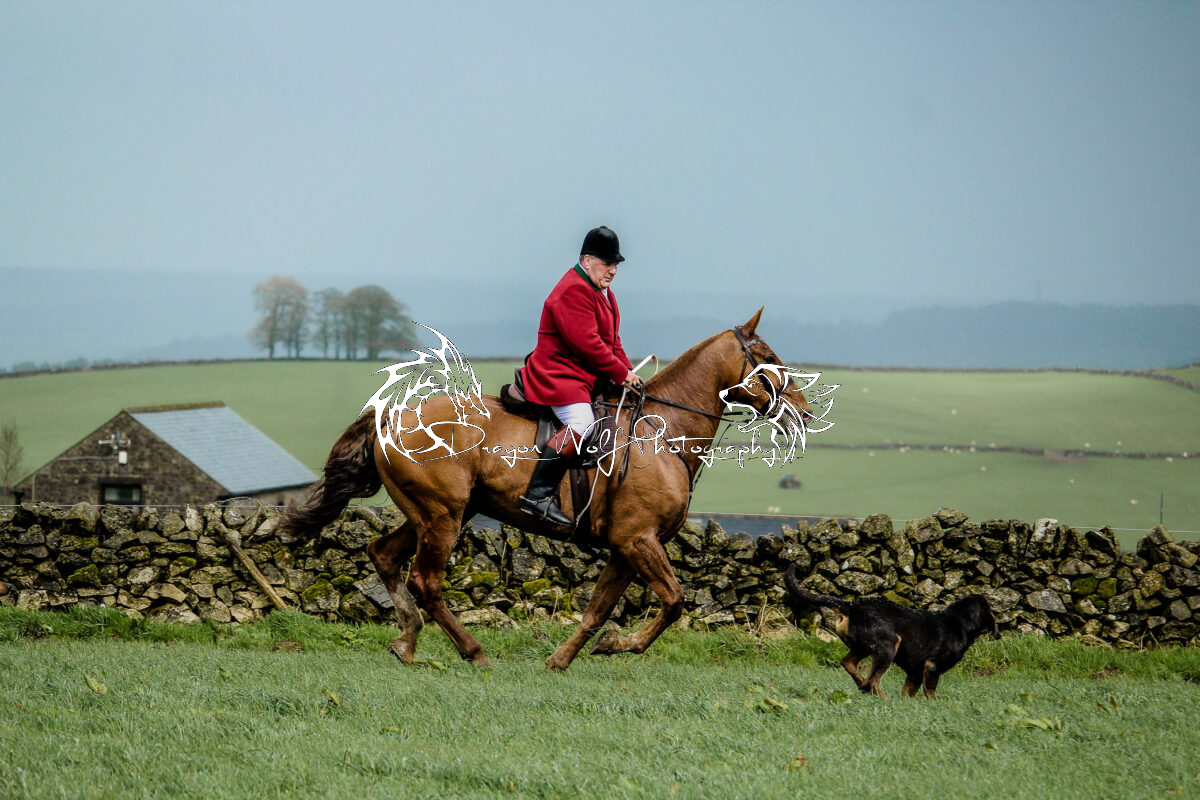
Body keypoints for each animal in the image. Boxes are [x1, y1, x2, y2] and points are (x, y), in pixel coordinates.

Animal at [281, 308, 815, 670]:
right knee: (425, 582)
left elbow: (597, 611)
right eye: (767, 359)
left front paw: (566, 657)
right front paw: (623, 646)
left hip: (436, 514)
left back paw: (407, 640)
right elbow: (673, 601)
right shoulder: (638, 540)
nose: (806, 412)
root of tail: (390, 416)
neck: (662, 433)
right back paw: (473, 652)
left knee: (385, 555)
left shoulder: (626, 548)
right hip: (442, 516)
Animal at [784, 563, 999, 698]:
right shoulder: (932, 668)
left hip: (863, 648)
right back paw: (881, 697)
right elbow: (930, 694)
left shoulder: (914, 673)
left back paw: (863, 686)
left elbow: (908, 694)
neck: (959, 621)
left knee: (851, 666)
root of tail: (850, 606)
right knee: (872, 682)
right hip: (889, 645)